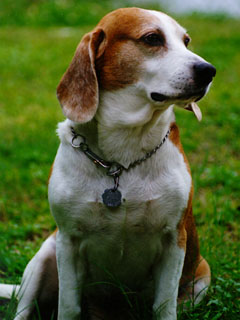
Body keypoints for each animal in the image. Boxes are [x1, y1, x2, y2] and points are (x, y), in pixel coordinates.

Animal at [0, 7, 216, 320]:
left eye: (186, 41)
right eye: (152, 38)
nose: (209, 70)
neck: (122, 156)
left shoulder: (174, 240)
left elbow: (164, 305)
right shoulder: (68, 241)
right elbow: (69, 305)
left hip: (201, 277)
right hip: (43, 256)